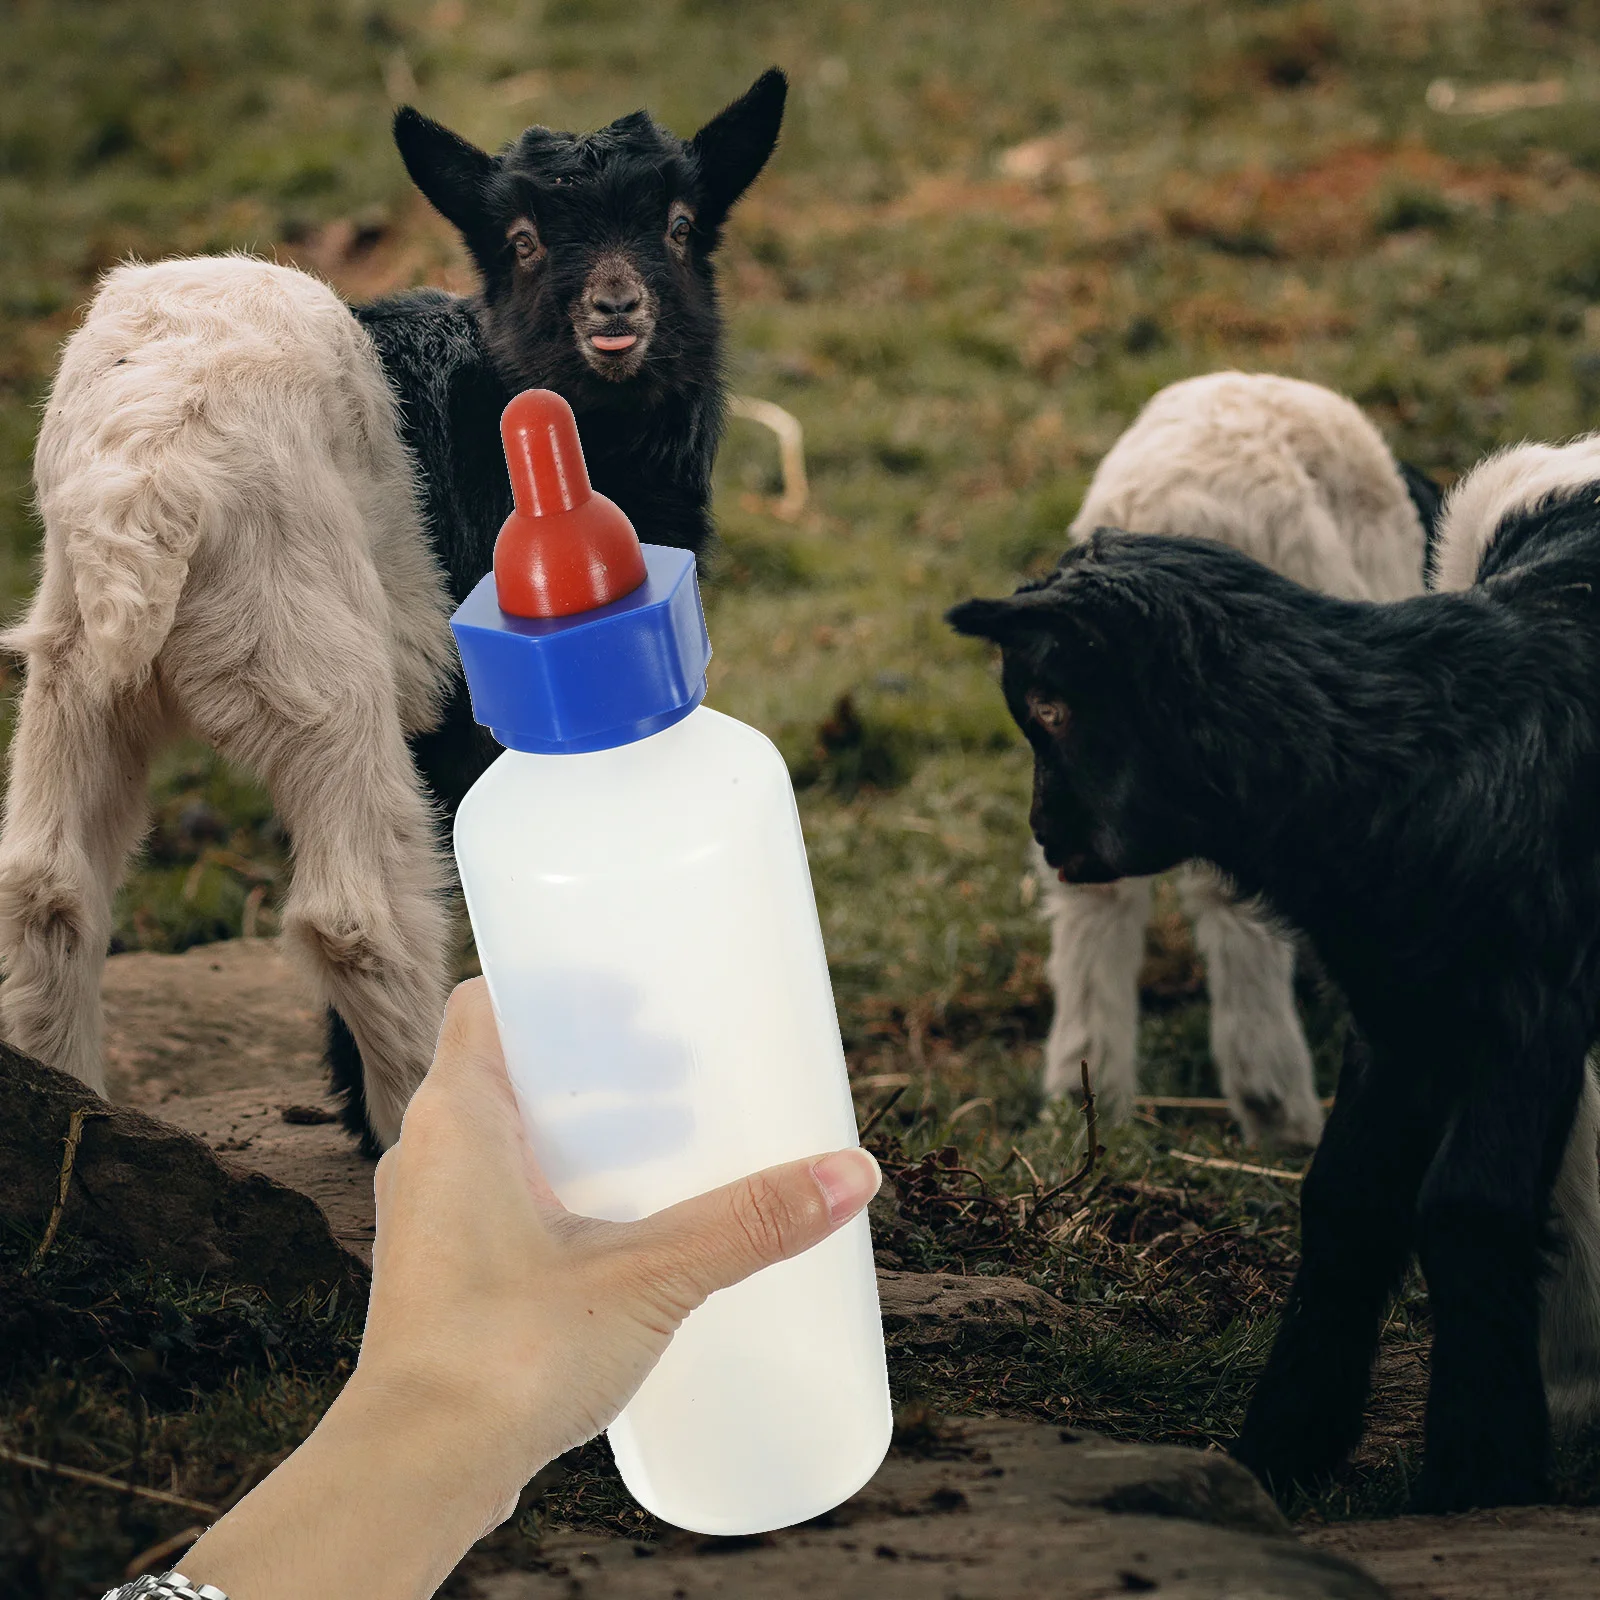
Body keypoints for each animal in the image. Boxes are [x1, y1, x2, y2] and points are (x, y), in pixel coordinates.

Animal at [0, 72, 788, 1153]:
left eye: (678, 224)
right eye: (522, 239)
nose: (615, 314)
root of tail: (152, 474)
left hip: (77, 662)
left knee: (48, 887)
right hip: (315, 666)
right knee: (358, 913)